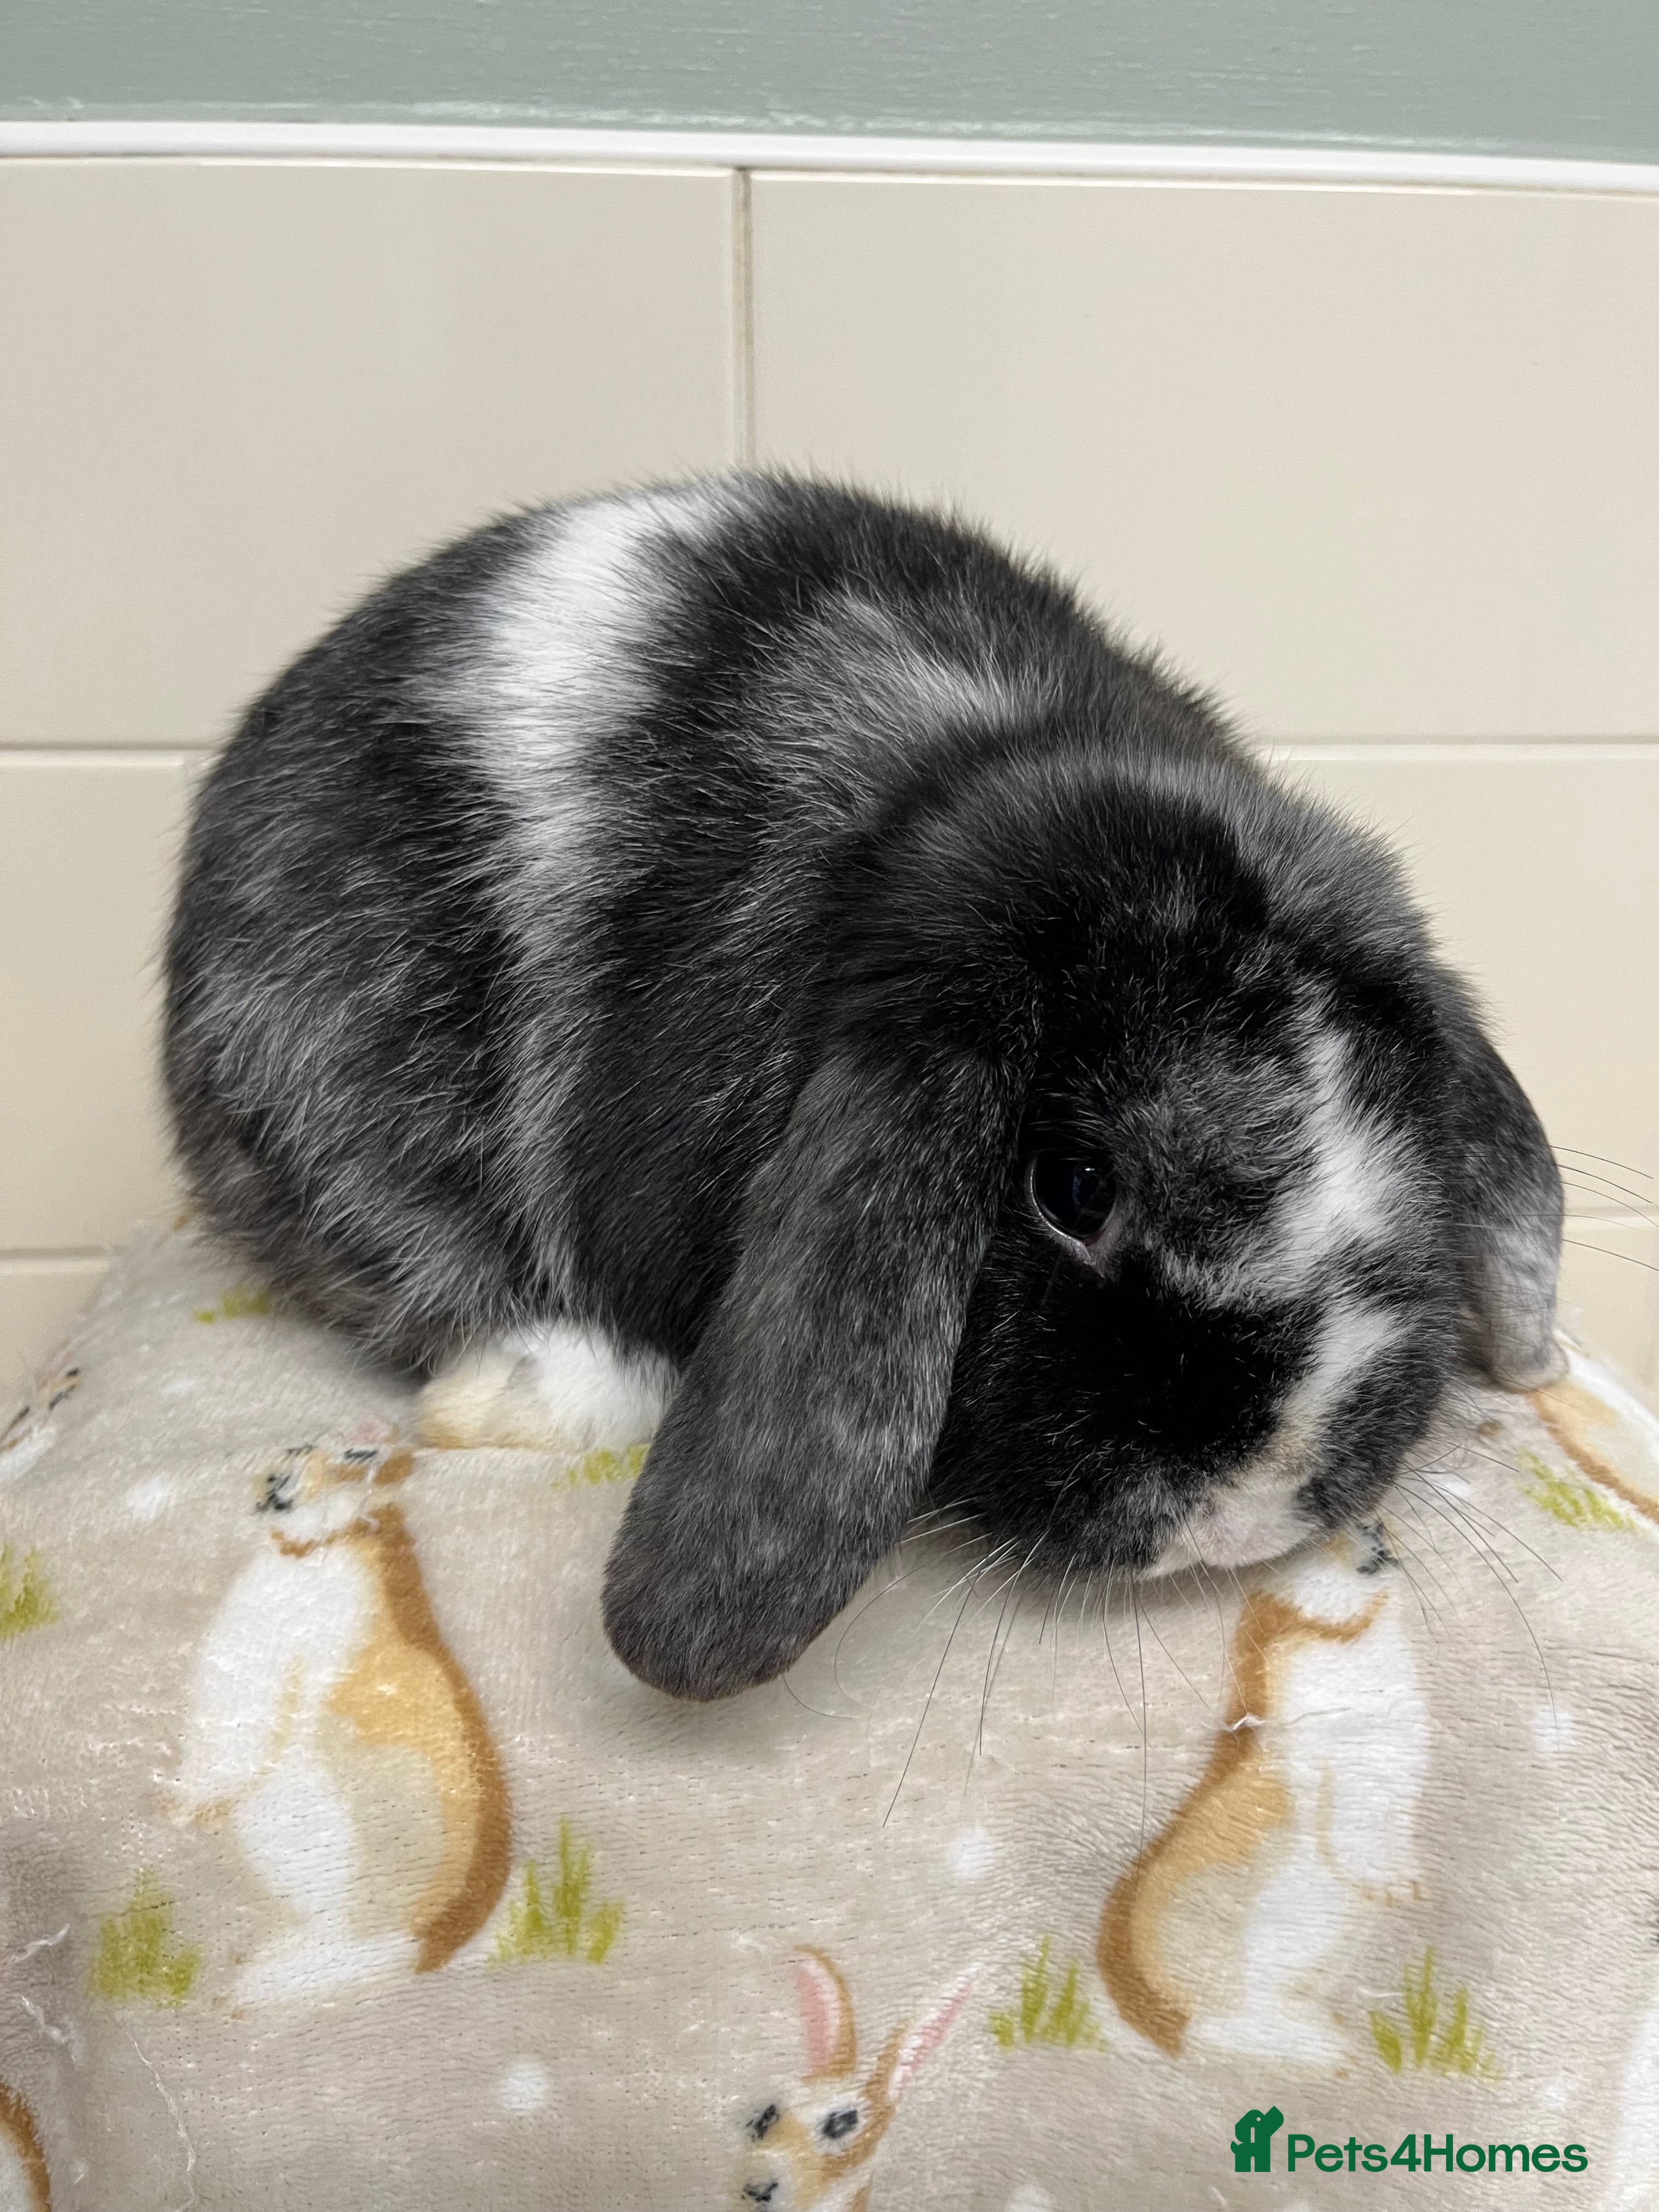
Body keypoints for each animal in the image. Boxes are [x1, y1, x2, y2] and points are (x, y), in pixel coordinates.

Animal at [172, 1438, 511, 2004]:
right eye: (298, 1447)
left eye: (356, 1455)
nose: (275, 1479)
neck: (319, 1545)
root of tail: (430, 1939)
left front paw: (186, 1808)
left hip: (322, 1834)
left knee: (340, 1943)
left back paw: (260, 1985)